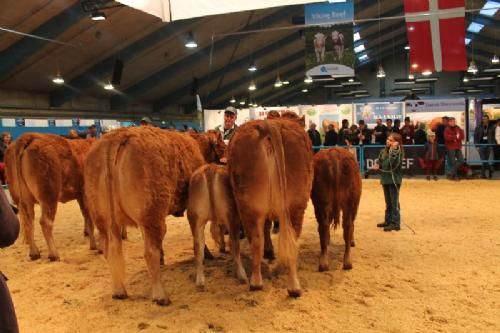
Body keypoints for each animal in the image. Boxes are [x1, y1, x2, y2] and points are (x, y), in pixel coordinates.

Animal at [83, 126, 204, 304]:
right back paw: (160, 296)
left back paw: (119, 291)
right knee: (149, 252)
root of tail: (116, 137)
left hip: (106, 219)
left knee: (112, 250)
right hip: (152, 215)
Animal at [229, 117, 312, 296]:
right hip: (294, 204)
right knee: (286, 240)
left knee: (257, 240)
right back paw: (292, 286)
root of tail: (269, 124)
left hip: (250, 205)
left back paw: (258, 282)